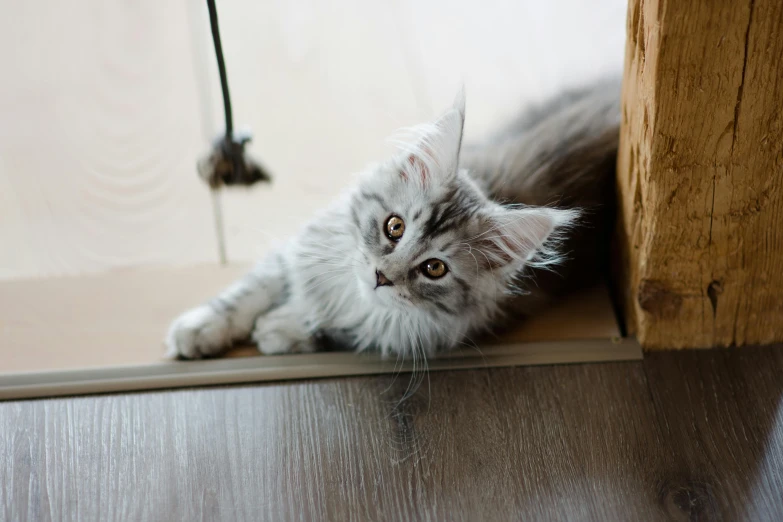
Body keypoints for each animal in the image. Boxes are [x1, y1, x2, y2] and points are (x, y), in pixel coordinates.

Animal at [165, 77, 620, 360]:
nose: (382, 275)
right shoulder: (300, 249)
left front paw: (281, 328)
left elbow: (343, 330)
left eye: (434, 268)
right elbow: (247, 293)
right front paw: (200, 329)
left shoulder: (429, 331)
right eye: (394, 226)